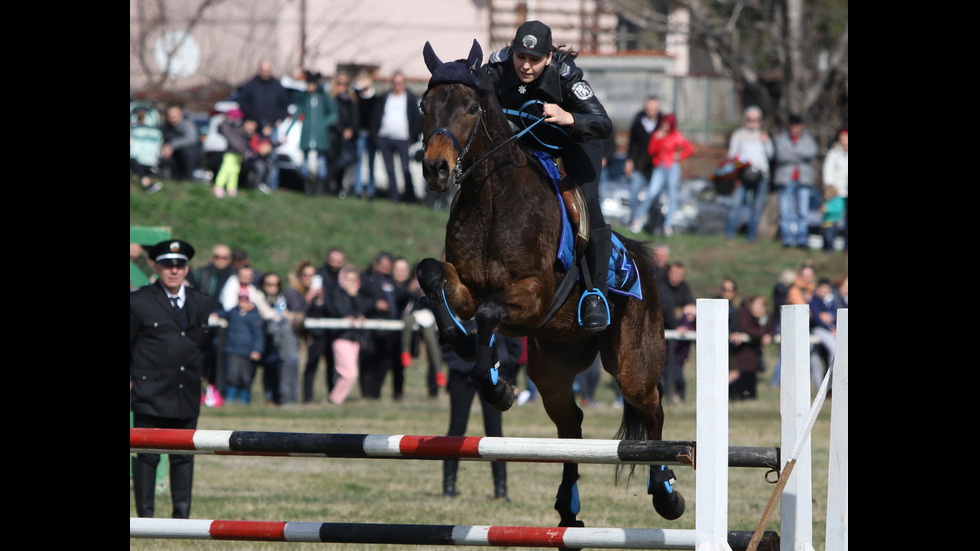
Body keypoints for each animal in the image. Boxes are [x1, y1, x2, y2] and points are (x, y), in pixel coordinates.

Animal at [418, 38, 684, 532]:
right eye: (425, 106)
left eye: (470, 107)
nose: (437, 170)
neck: (492, 198)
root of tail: (643, 266)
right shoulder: (466, 287)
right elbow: (432, 276)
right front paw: (463, 346)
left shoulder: (535, 294)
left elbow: (489, 312)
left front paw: (496, 385)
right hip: (552, 369)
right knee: (571, 425)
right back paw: (567, 508)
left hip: (632, 365)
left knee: (651, 406)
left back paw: (665, 493)